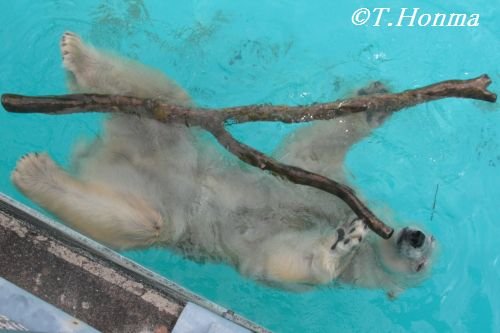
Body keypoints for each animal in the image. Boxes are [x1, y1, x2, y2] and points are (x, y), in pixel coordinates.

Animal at [10, 31, 434, 290]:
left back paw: (33, 171)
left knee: (142, 223)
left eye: (423, 262)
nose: (416, 237)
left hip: (163, 204)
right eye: (427, 238)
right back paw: (78, 53)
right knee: (165, 95)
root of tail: (100, 154)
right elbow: (313, 148)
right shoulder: (326, 182)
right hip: (174, 138)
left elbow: (276, 260)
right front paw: (374, 101)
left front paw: (342, 242)